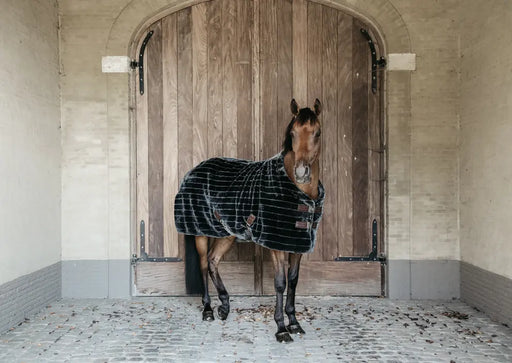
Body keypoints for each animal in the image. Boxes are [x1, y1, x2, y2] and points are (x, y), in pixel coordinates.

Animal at [173, 98, 324, 342]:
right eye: (292, 133)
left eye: (317, 133)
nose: (301, 172)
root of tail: (193, 171)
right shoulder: (276, 245)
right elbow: (280, 283)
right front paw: (281, 329)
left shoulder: (297, 244)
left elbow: (293, 280)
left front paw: (294, 323)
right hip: (200, 232)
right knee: (204, 265)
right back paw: (208, 310)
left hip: (226, 234)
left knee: (214, 261)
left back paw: (224, 306)